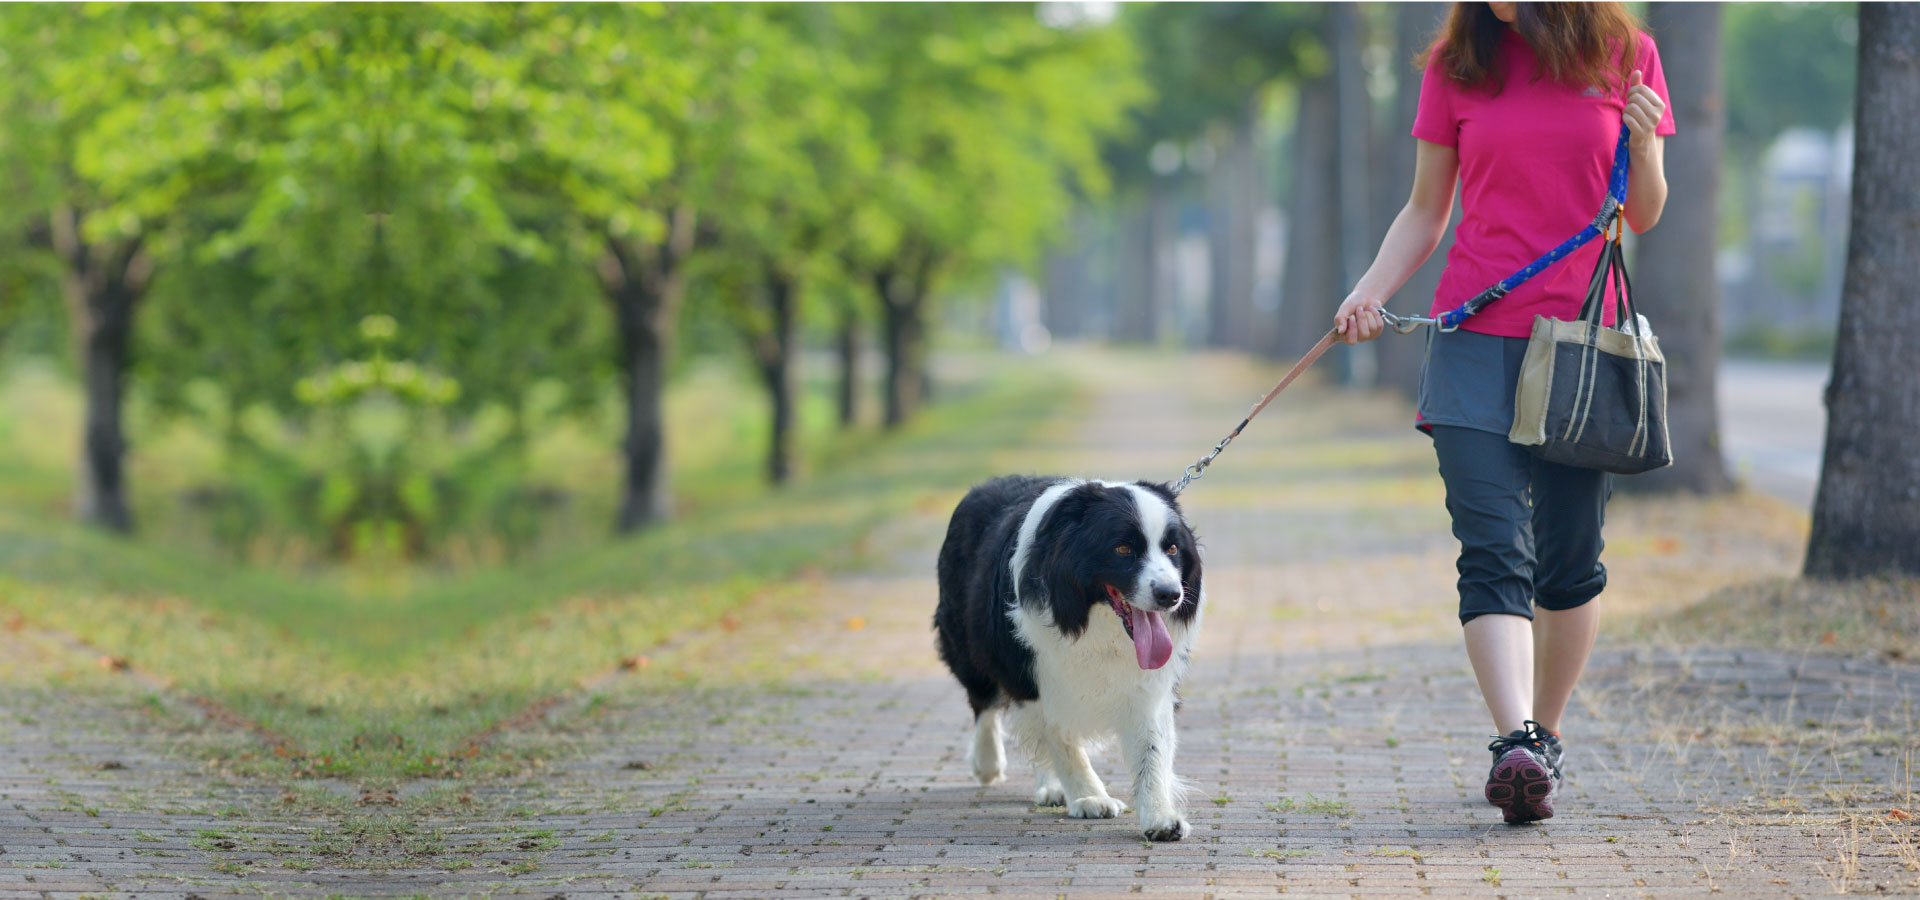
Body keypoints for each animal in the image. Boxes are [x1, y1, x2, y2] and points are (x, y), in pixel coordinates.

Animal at [929, 473, 1198, 836]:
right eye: (1123, 548)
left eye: (1172, 548)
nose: (1170, 594)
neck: (1093, 620)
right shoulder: (1033, 672)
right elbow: (1061, 738)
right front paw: (1090, 797)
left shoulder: (1147, 682)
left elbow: (1150, 747)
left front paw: (1160, 816)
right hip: (969, 640)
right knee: (982, 698)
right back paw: (989, 763)